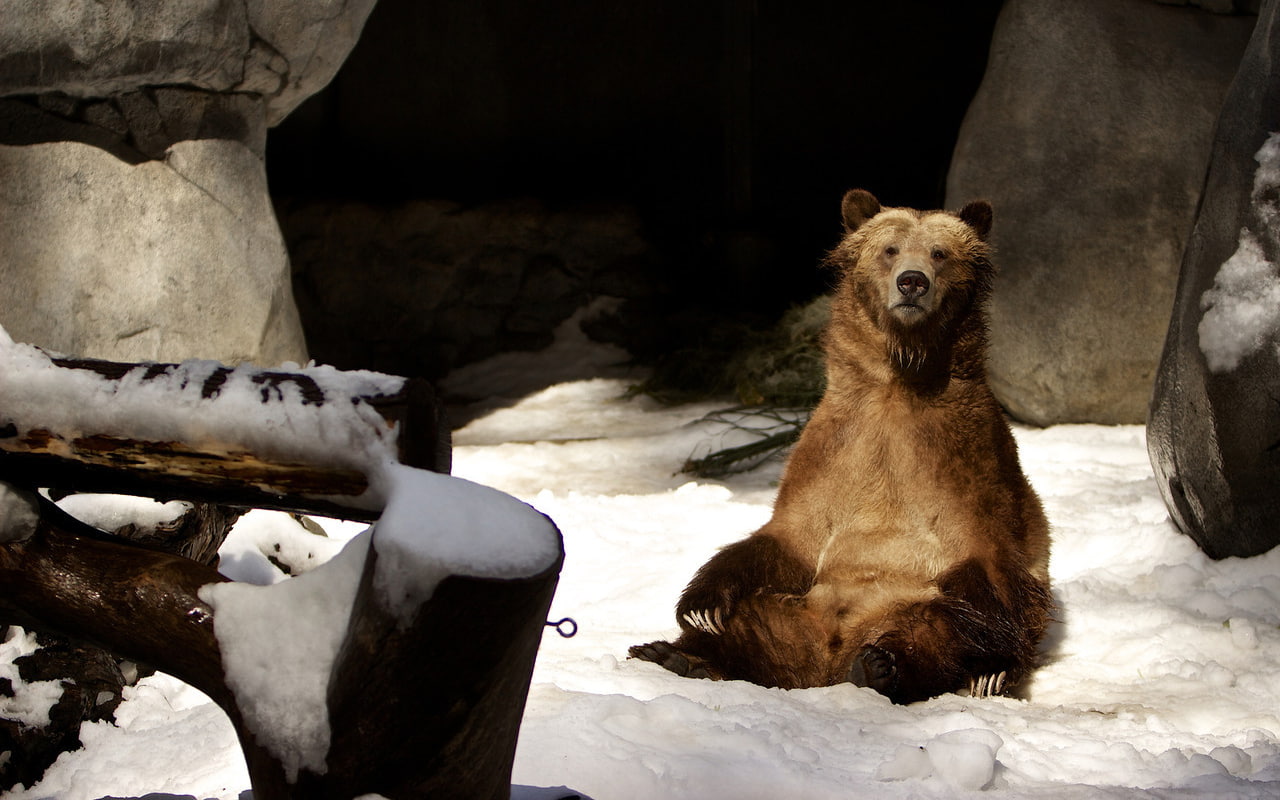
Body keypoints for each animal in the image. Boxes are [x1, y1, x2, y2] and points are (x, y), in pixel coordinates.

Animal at [630, 189, 1052, 704]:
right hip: (795, 614)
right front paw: (700, 607)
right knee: (752, 623)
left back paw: (888, 667)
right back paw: (676, 655)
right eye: (890, 249)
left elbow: (990, 564)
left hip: (906, 610)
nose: (912, 282)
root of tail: (826, 662)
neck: (898, 381)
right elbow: (788, 535)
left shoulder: (966, 460)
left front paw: (988, 669)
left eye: (940, 253)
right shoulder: (837, 448)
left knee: (940, 626)